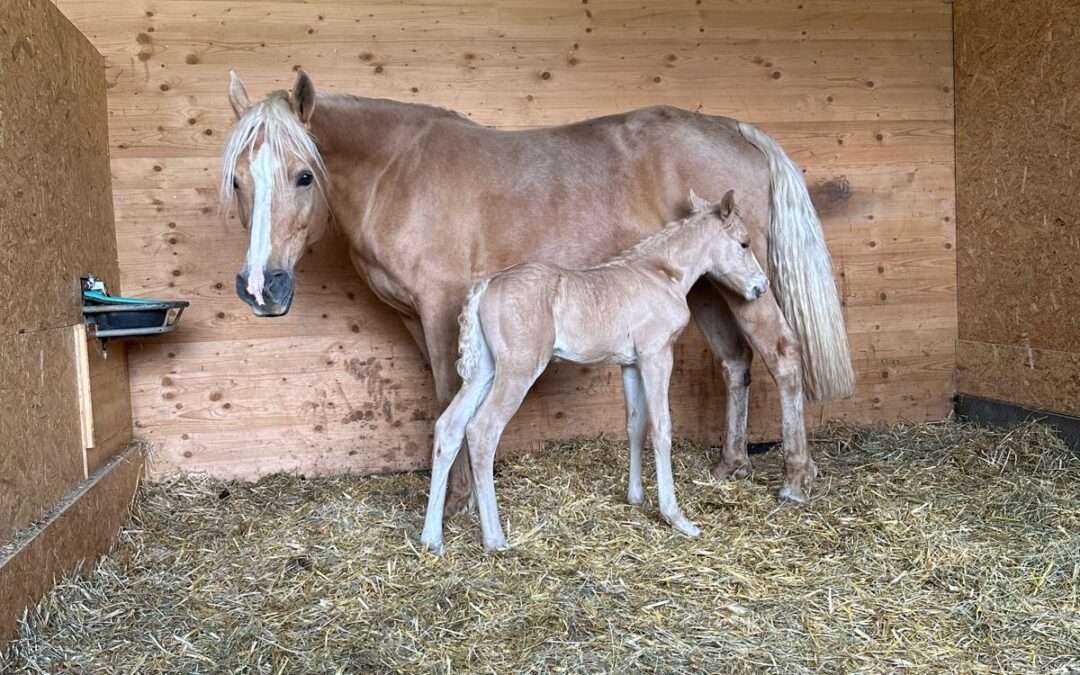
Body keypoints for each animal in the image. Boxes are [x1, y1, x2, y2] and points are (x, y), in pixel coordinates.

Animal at [421, 190, 768, 552]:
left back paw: (431, 538)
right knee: (482, 430)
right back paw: (494, 539)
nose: (761, 287)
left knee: (449, 427)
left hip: (485, 371)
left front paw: (635, 497)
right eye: (744, 243)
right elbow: (661, 429)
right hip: (518, 370)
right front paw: (676, 517)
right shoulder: (656, 355)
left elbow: (635, 425)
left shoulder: (630, 363)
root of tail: (485, 287)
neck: (662, 274)